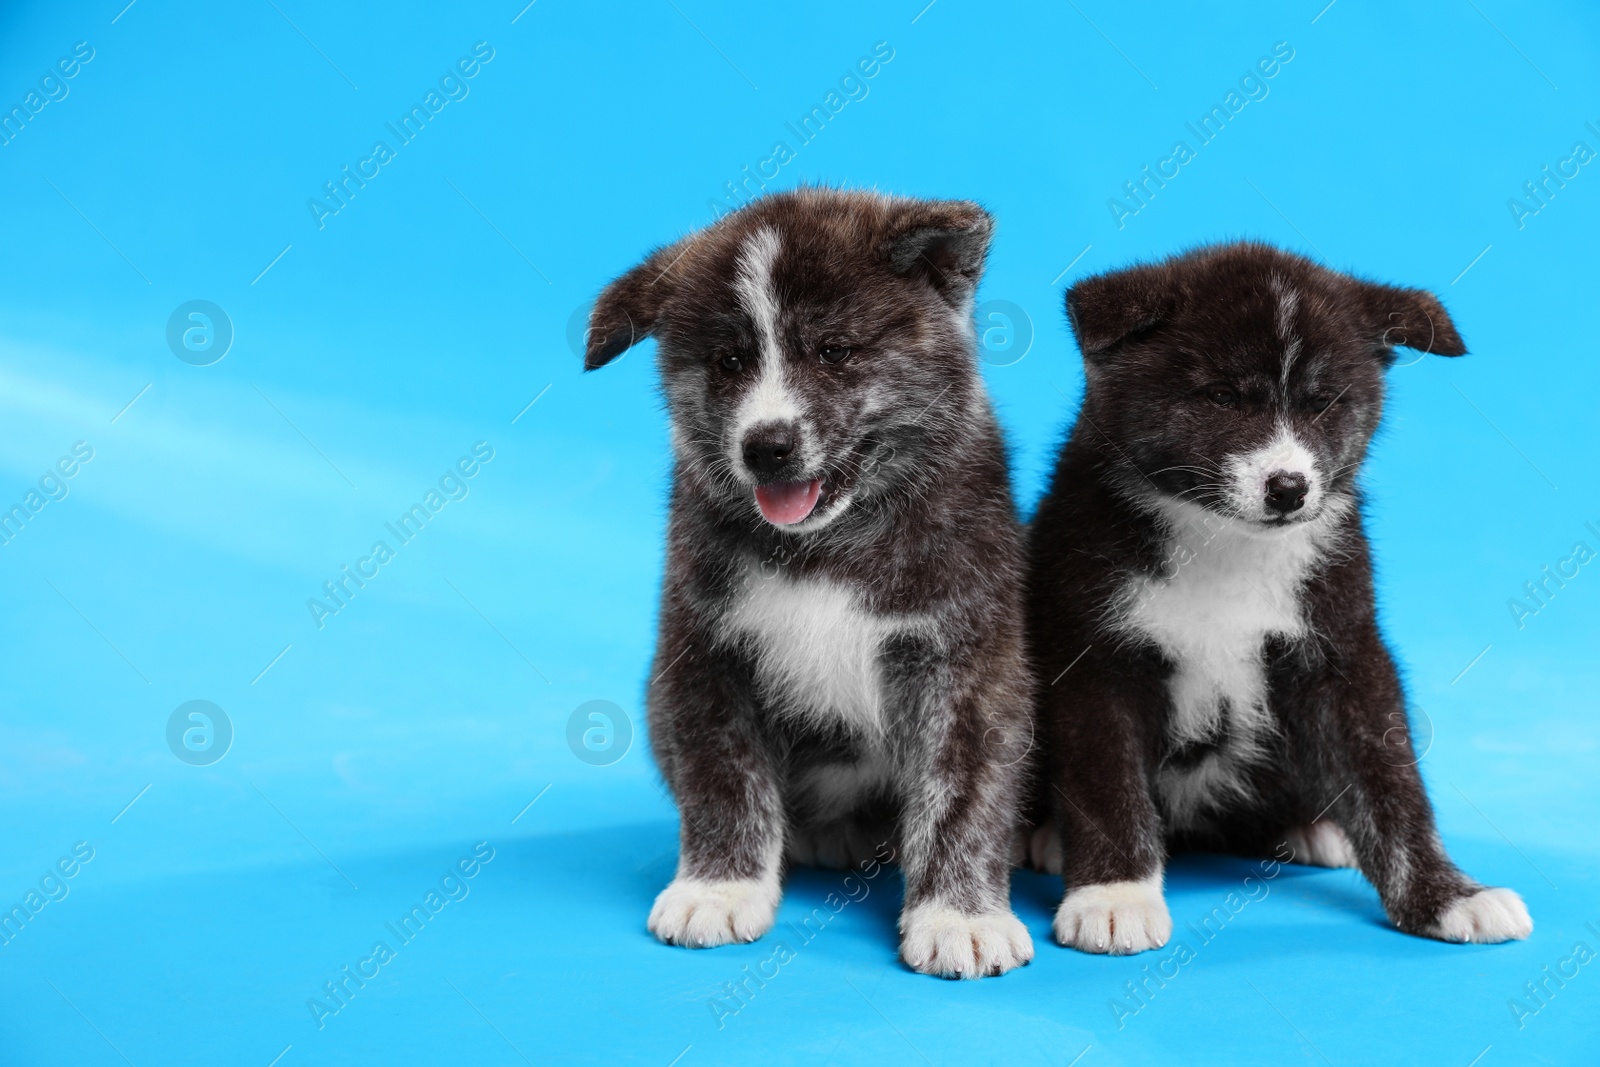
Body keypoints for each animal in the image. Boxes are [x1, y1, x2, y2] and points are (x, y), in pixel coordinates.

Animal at [588, 189, 1036, 979]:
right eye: (729, 361)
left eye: (833, 351)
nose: (765, 446)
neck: (829, 546)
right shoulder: (706, 650)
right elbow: (723, 774)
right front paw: (720, 886)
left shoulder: (966, 661)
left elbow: (963, 791)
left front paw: (961, 914)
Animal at [1024, 239, 1536, 953]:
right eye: (1221, 397)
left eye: (1323, 403)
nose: (1288, 487)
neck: (1220, 543)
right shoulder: (1095, 660)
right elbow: (1107, 782)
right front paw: (1115, 896)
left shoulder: (1345, 650)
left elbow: (1392, 783)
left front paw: (1449, 895)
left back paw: (1315, 829)